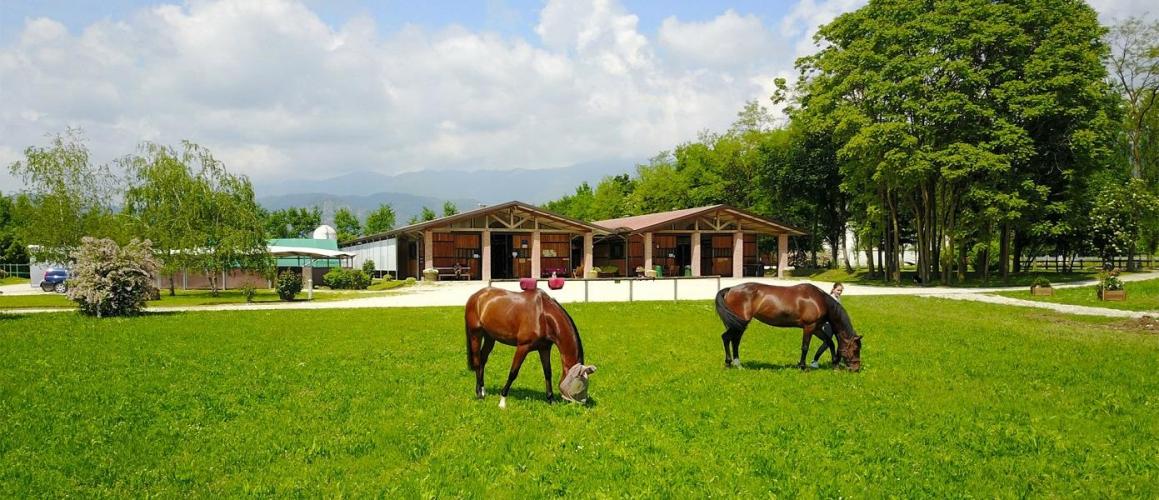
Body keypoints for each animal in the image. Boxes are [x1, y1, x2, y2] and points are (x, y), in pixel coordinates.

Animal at [465, 287, 596, 408]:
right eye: (580, 385)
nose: (582, 404)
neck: (542, 315)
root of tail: (476, 296)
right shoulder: (523, 347)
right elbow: (513, 373)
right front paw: (502, 401)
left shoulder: (544, 348)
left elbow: (548, 372)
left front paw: (551, 399)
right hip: (475, 335)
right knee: (477, 362)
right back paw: (479, 394)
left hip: (490, 337)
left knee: (483, 360)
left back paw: (483, 390)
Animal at [715, 283, 862, 371]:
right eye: (856, 349)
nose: (856, 368)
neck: (820, 300)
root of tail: (730, 289)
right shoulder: (809, 327)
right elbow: (805, 347)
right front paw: (803, 366)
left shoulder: (817, 328)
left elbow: (830, 342)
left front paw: (835, 364)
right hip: (739, 324)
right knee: (727, 338)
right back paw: (730, 363)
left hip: (738, 325)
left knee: (734, 341)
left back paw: (737, 363)